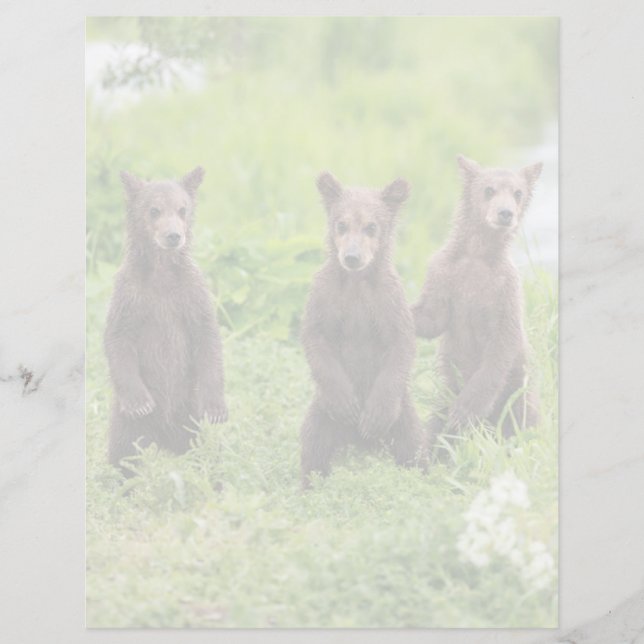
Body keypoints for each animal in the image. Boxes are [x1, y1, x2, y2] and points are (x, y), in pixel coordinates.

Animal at [104, 166, 227, 472]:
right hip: (128, 425)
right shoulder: (131, 295)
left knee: (207, 451)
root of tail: (163, 439)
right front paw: (140, 402)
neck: (161, 272)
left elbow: (208, 337)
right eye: (154, 210)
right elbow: (117, 338)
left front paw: (217, 408)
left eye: (182, 209)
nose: (173, 235)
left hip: (190, 413)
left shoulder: (190, 294)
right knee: (123, 455)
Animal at [299, 171, 425, 487]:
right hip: (321, 412)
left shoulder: (388, 301)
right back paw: (310, 484)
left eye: (371, 226)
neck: (356, 283)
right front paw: (347, 404)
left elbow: (401, 344)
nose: (352, 257)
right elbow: (315, 338)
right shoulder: (326, 296)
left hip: (404, 414)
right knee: (313, 445)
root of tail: (358, 444)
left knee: (413, 445)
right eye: (341, 223)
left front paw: (373, 417)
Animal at [412, 154, 543, 438]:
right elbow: (433, 317)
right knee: (435, 425)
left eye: (517, 192)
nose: (505, 213)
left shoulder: (503, 289)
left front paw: (465, 411)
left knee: (520, 417)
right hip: (446, 391)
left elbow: (501, 345)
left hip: (517, 393)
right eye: (489, 189)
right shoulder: (445, 274)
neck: (477, 254)